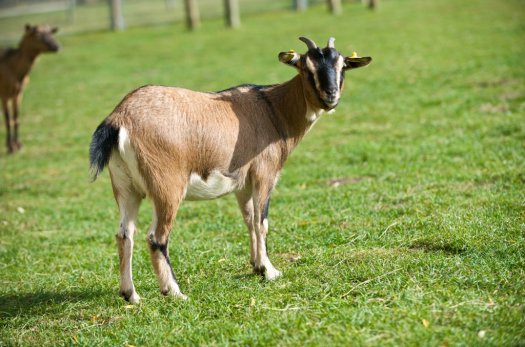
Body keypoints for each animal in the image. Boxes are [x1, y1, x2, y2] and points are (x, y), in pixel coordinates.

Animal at [0, 24, 59, 154]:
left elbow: (16, 118)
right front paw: (10, 147)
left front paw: (18, 145)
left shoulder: (18, 93)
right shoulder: (4, 93)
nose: (56, 46)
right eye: (37, 35)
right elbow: (8, 120)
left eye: (50, 32)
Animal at [89, 36, 368, 304]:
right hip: (167, 188)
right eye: (306, 67)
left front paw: (257, 266)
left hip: (126, 188)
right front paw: (270, 271)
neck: (273, 109)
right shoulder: (265, 175)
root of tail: (119, 119)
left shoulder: (242, 184)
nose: (331, 96)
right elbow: (262, 221)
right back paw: (175, 292)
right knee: (156, 237)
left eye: (342, 66)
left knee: (125, 234)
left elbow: (249, 220)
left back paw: (131, 295)